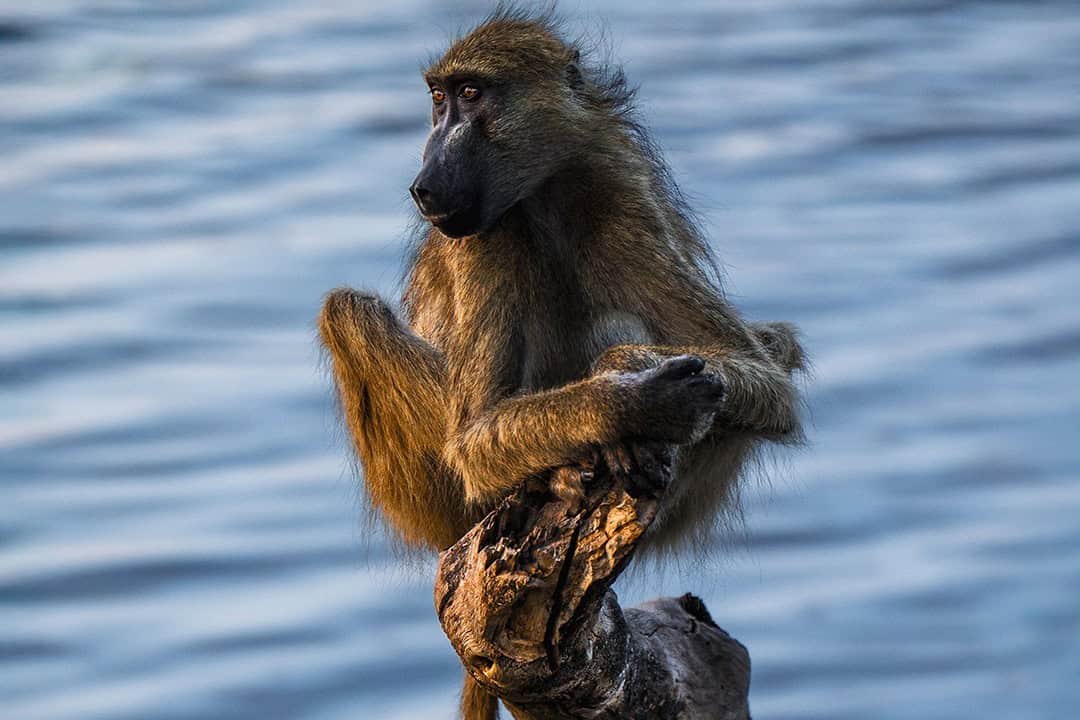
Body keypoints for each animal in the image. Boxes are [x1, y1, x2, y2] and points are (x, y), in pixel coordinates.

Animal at [318, 9, 806, 719]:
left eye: (472, 94)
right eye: (439, 99)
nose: (423, 184)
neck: (542, 193)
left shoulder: (620, 198)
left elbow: (764, 371)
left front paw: (627, 368)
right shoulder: (487, 234)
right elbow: (474, 438)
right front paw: (627, 400)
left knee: (776, 342)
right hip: (442, 507)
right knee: (347, 312)